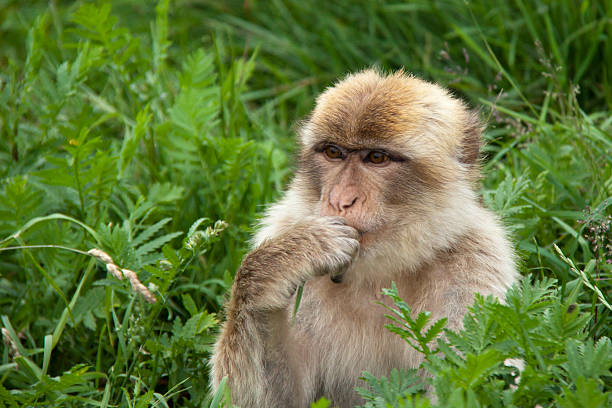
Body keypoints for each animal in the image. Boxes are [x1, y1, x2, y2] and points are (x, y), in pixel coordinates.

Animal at [209, 68, 516, 406]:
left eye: (377, 157)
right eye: (334, 152)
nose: (340, 199)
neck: (379, 271)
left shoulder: (475, 265)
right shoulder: (282, 225)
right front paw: (281, 264)